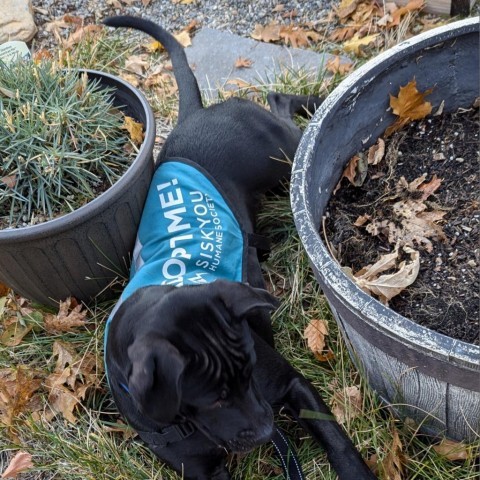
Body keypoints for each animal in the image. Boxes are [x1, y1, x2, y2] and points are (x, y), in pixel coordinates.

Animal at [103, 15, 376, 480]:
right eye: (213, 398)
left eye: (249, 373)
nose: (269, 430)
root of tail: (195, 115)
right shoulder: (199, 468)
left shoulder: (292, 385)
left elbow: (336, 438)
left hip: (283, 153)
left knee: (280, 103)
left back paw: (321, 99)